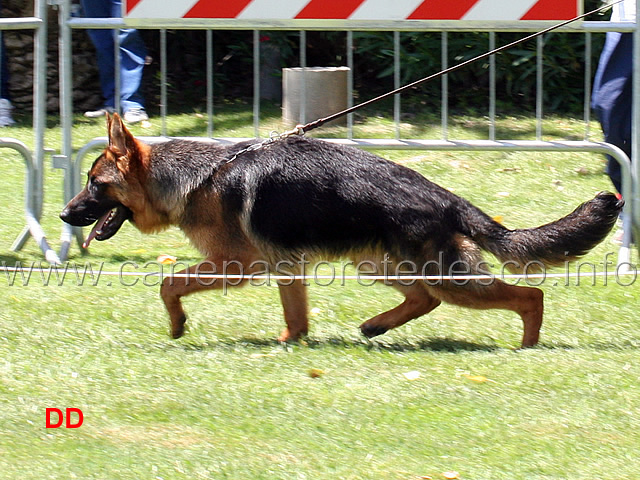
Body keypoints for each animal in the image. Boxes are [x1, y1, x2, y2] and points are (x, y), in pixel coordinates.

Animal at [61, 116, 620, 348]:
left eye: (94, 184)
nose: (65, 216)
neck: (197, 177)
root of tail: (448, 199)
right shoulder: (286, 268)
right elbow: (297, 317)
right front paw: (290, 342)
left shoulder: (237, 266)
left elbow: (168, 283)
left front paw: (178, 326)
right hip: (377, 263)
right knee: (424, 298)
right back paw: (376, 327)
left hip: (443, 276)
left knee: (529, 296)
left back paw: (527, 345)